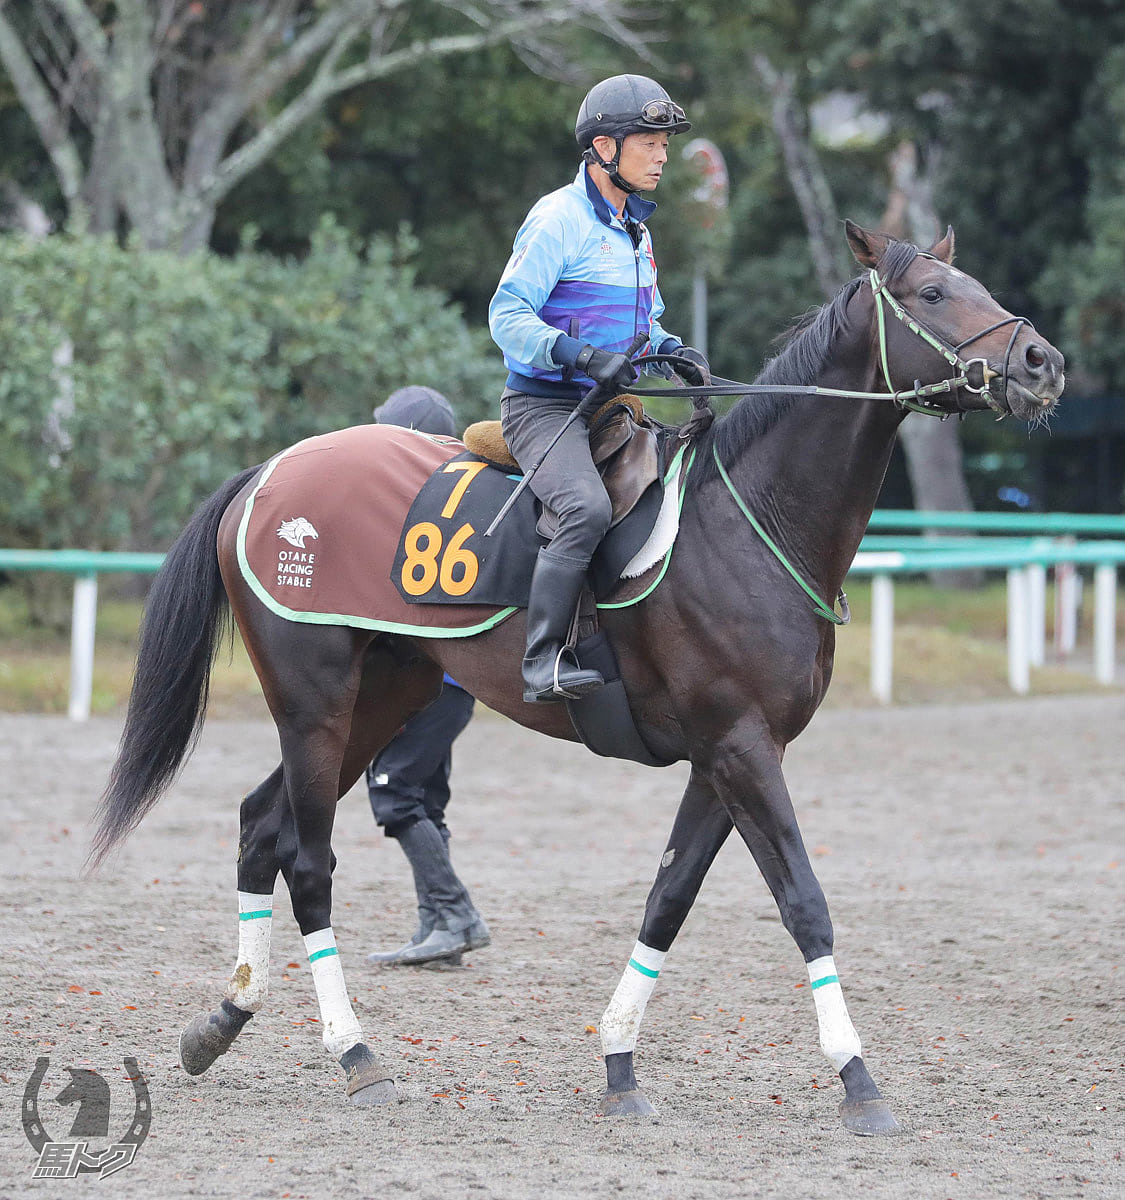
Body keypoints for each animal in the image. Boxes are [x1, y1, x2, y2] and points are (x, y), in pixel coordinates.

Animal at [87, 223, 1060, 1132]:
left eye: (974, 283)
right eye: (932, 293)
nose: (1039, 362)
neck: (747, 521)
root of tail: (273, 471)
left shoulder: (726, 758)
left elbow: (667, 900)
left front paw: (619, 1063)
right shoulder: (742, 751)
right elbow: (803, 905)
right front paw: (857, 1079)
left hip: (382, 698)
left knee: (260, 826)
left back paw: (224, 1018)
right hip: (314, 705)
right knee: (309, 862)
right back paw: (356, 1054)